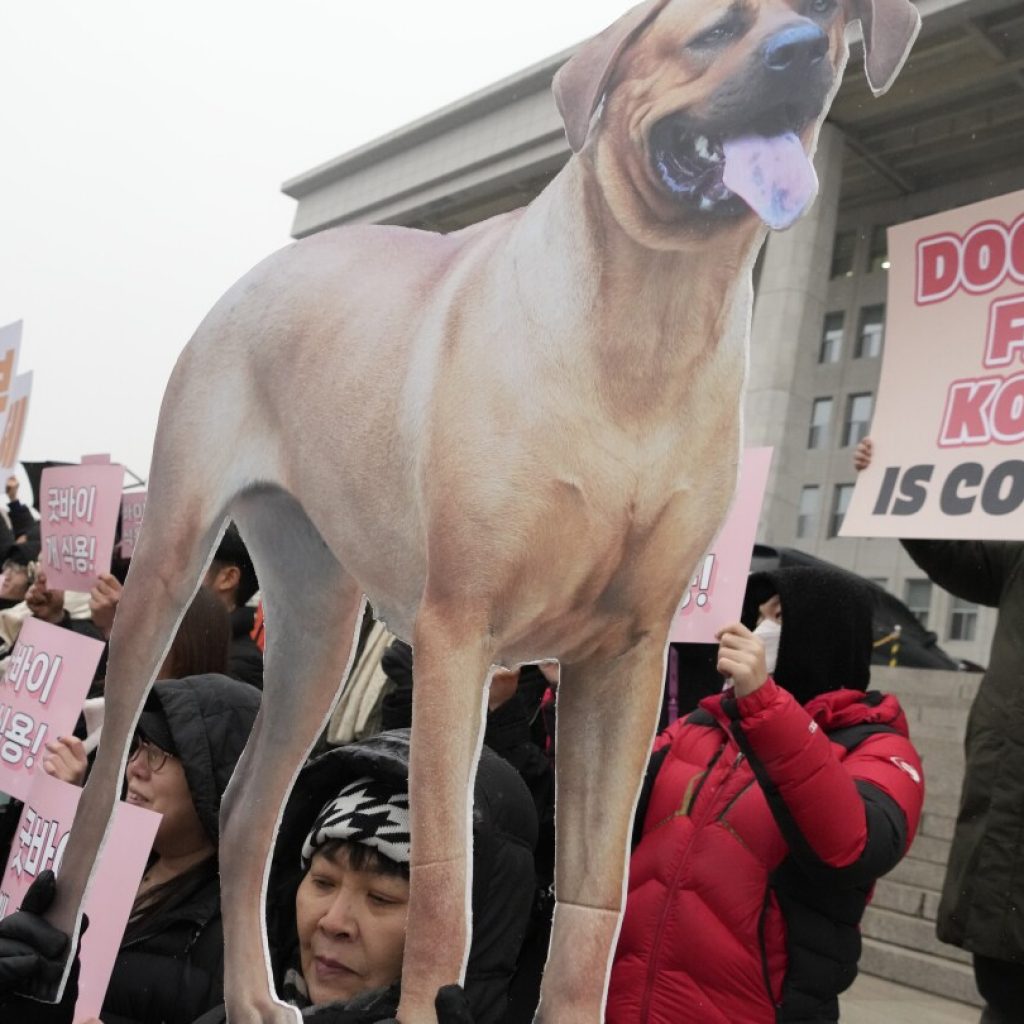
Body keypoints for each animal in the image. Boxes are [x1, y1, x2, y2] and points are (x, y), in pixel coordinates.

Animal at [44, 2, 917, 1024]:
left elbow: (593, 899)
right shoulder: (457, 635)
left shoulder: (625, 660)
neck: (646, 324)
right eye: (713, 31)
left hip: (315, 620)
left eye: (827, 17)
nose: (799, 56)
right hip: (172, 562)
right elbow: (442, 889)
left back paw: (256, 999)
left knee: (248, 803)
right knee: (103, 786)